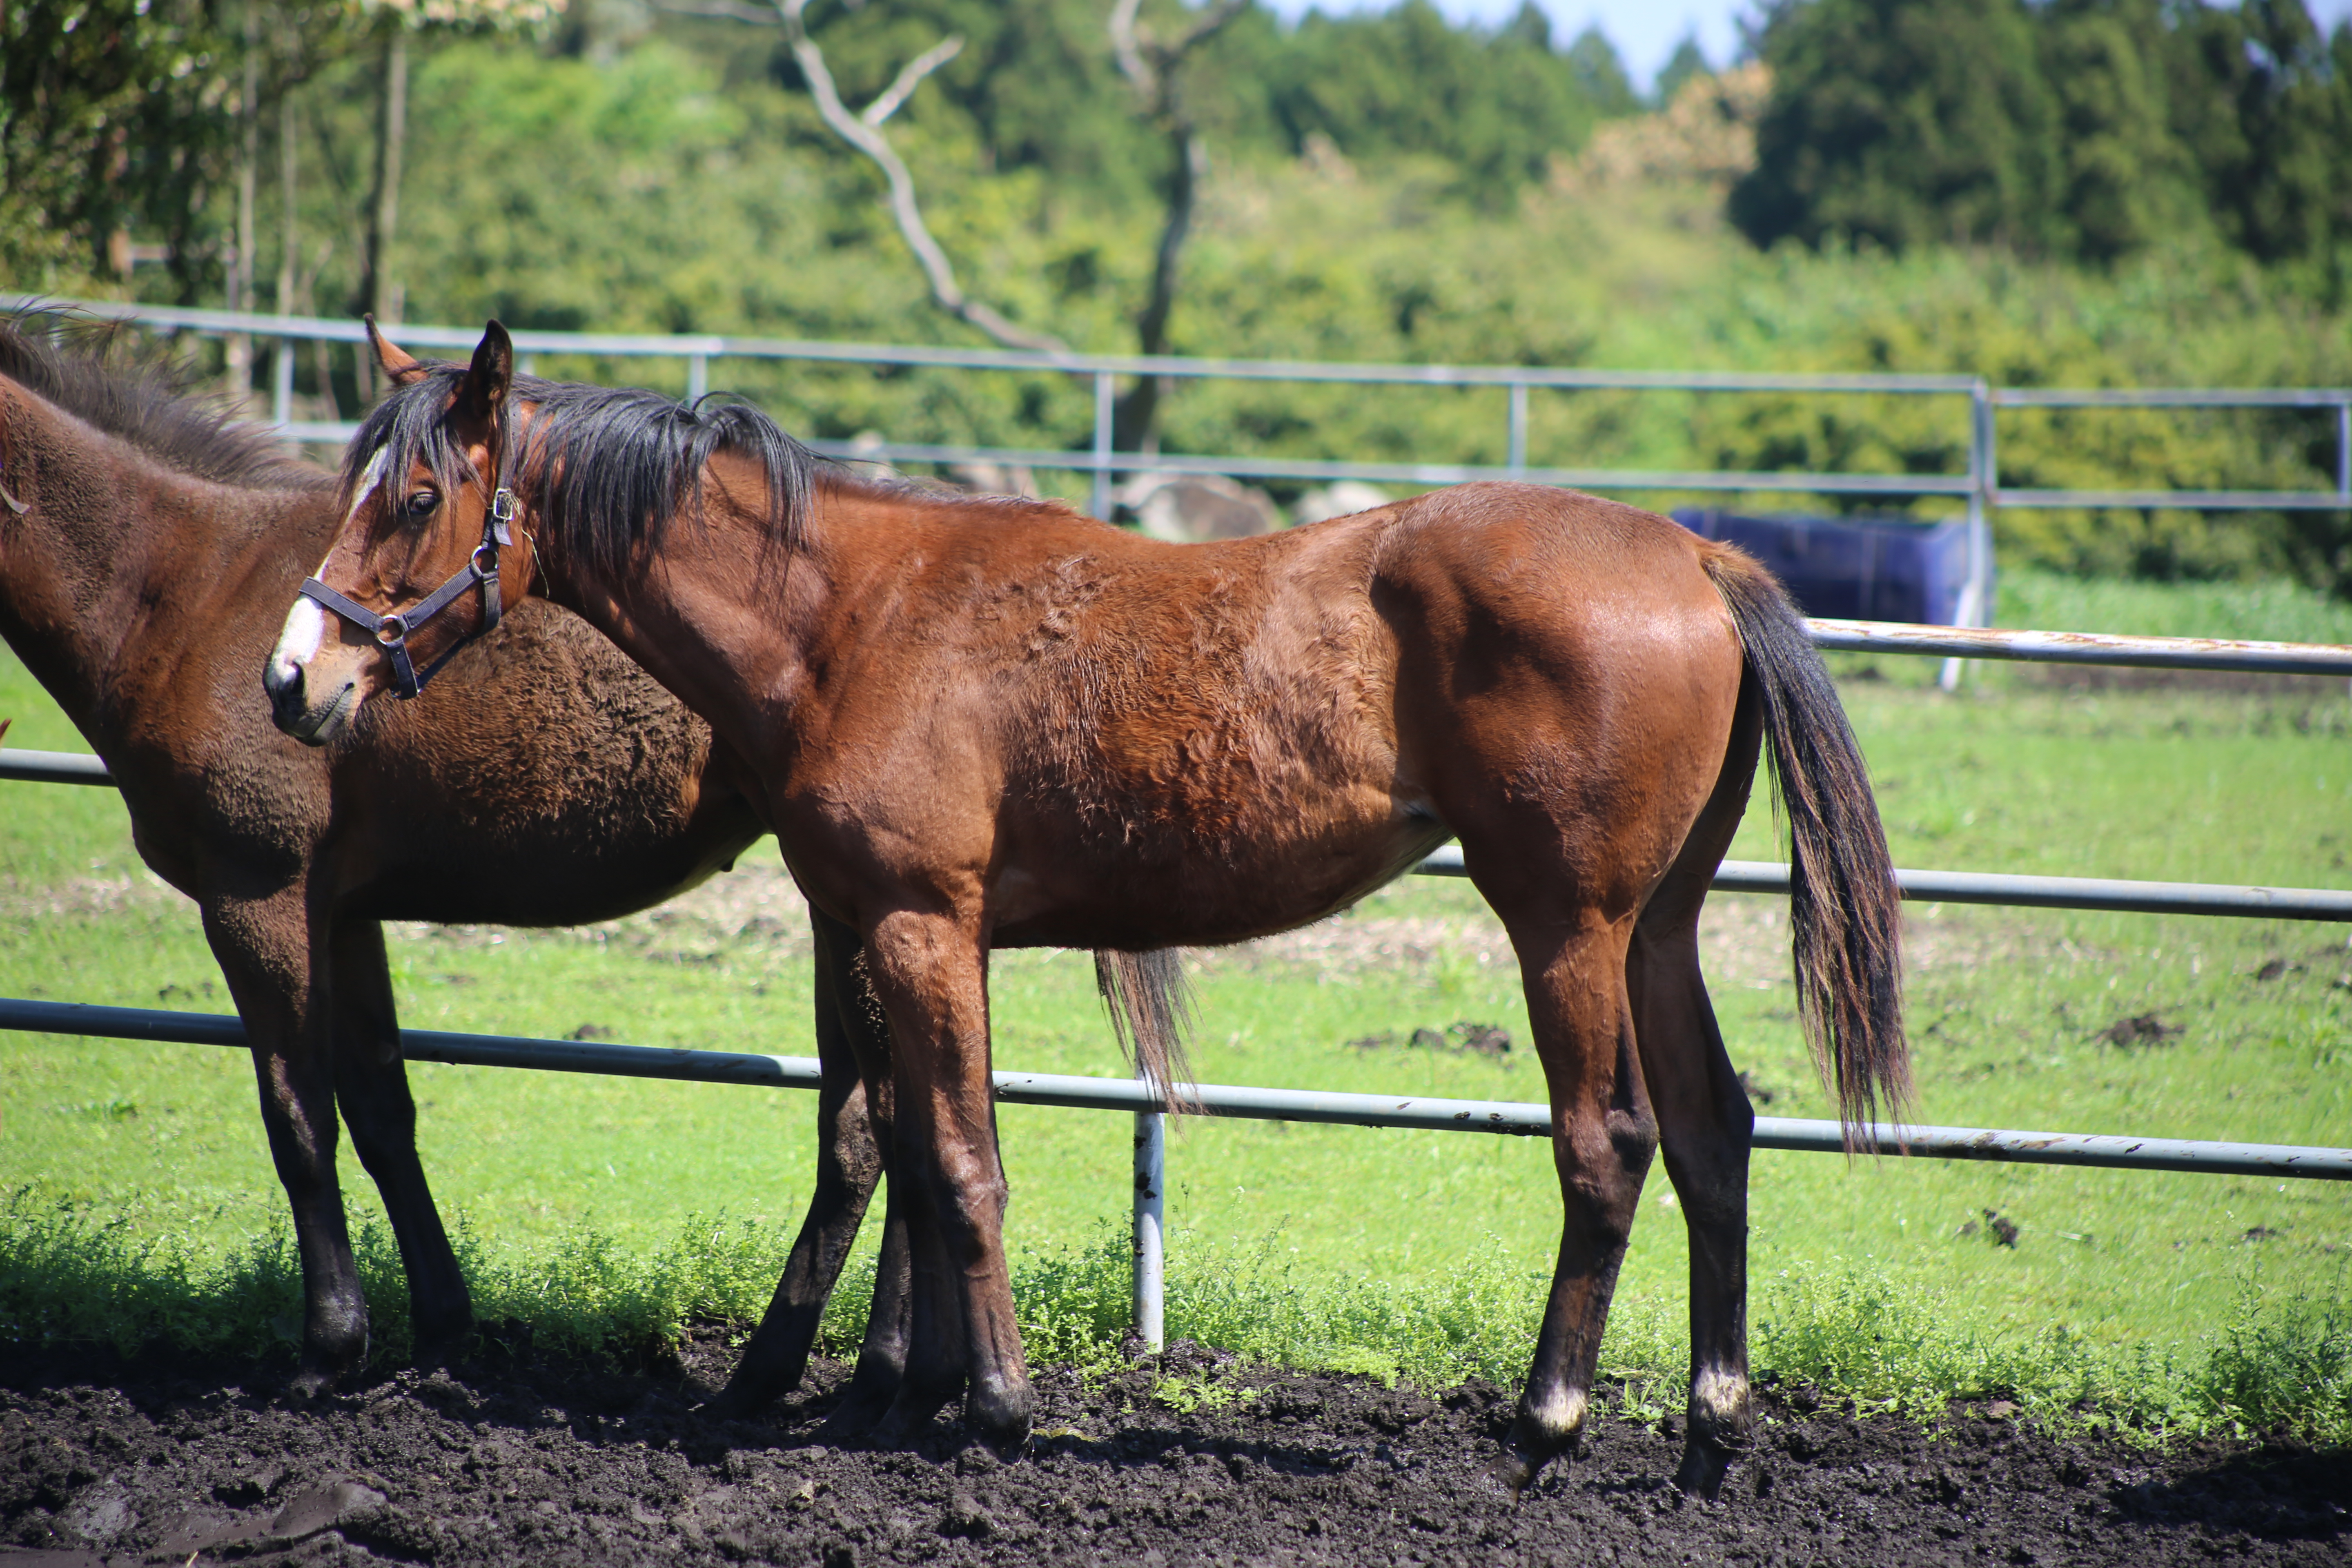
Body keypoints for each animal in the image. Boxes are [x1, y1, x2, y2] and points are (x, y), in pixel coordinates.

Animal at [270, 319, 1910, 1495]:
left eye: (416, 498)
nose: (297, 679)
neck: (852, 617)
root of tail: (1693, 552)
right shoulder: (890, 929)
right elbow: (910, 1151)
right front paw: (906, 1394)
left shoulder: (923, 923)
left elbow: (959, 1160)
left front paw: (989, 1404)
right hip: (1660, 929)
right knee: (1712, 1131)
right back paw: (1707, 1429)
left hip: (1568, 927)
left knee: (1607, 1143)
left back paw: (1547, 1422)